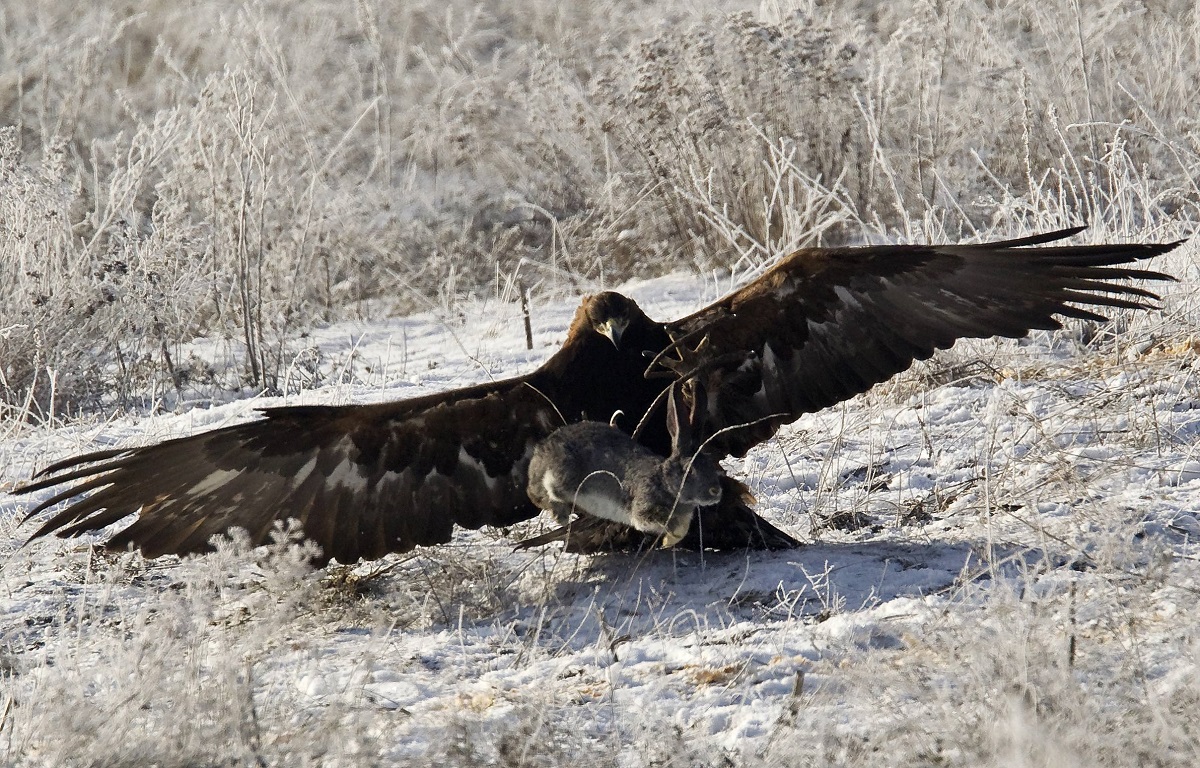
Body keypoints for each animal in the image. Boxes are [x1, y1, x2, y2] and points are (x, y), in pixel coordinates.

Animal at [526, 382, 723, 547]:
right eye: (689, 470)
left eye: (710, 462)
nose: (716, 491)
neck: (664, 483)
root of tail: (539, 452)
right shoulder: (643, 508)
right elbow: (656, 521)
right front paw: (669, 536)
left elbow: (681, 531)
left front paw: (668, 542)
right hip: (565, 472)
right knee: (548, 489)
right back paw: (561, 514)